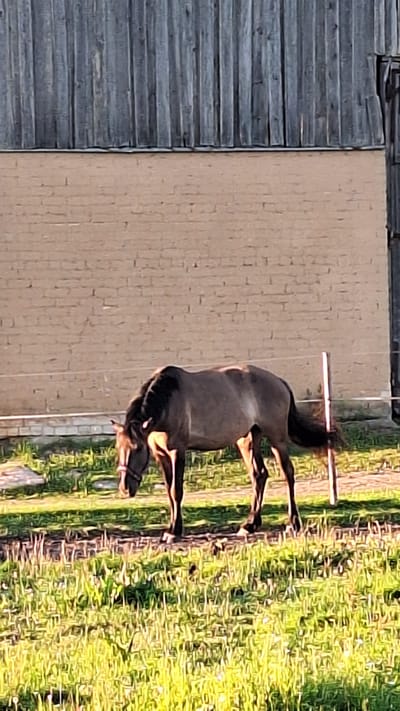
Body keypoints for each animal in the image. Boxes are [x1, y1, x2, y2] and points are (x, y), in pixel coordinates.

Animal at [112, 364, 338, 542]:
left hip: (277, 438)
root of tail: (279, 381)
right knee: (259, 475)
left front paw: (174, 531)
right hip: (247, 439)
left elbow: (176, 491)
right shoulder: (161, 455)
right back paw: (250, 525)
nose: (124, 489)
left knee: (287, 473)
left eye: (137, 448)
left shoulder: (177, 451)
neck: (169, 401)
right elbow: (169, 492)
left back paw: (293, 523)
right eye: (118, 449)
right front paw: (171, 528)